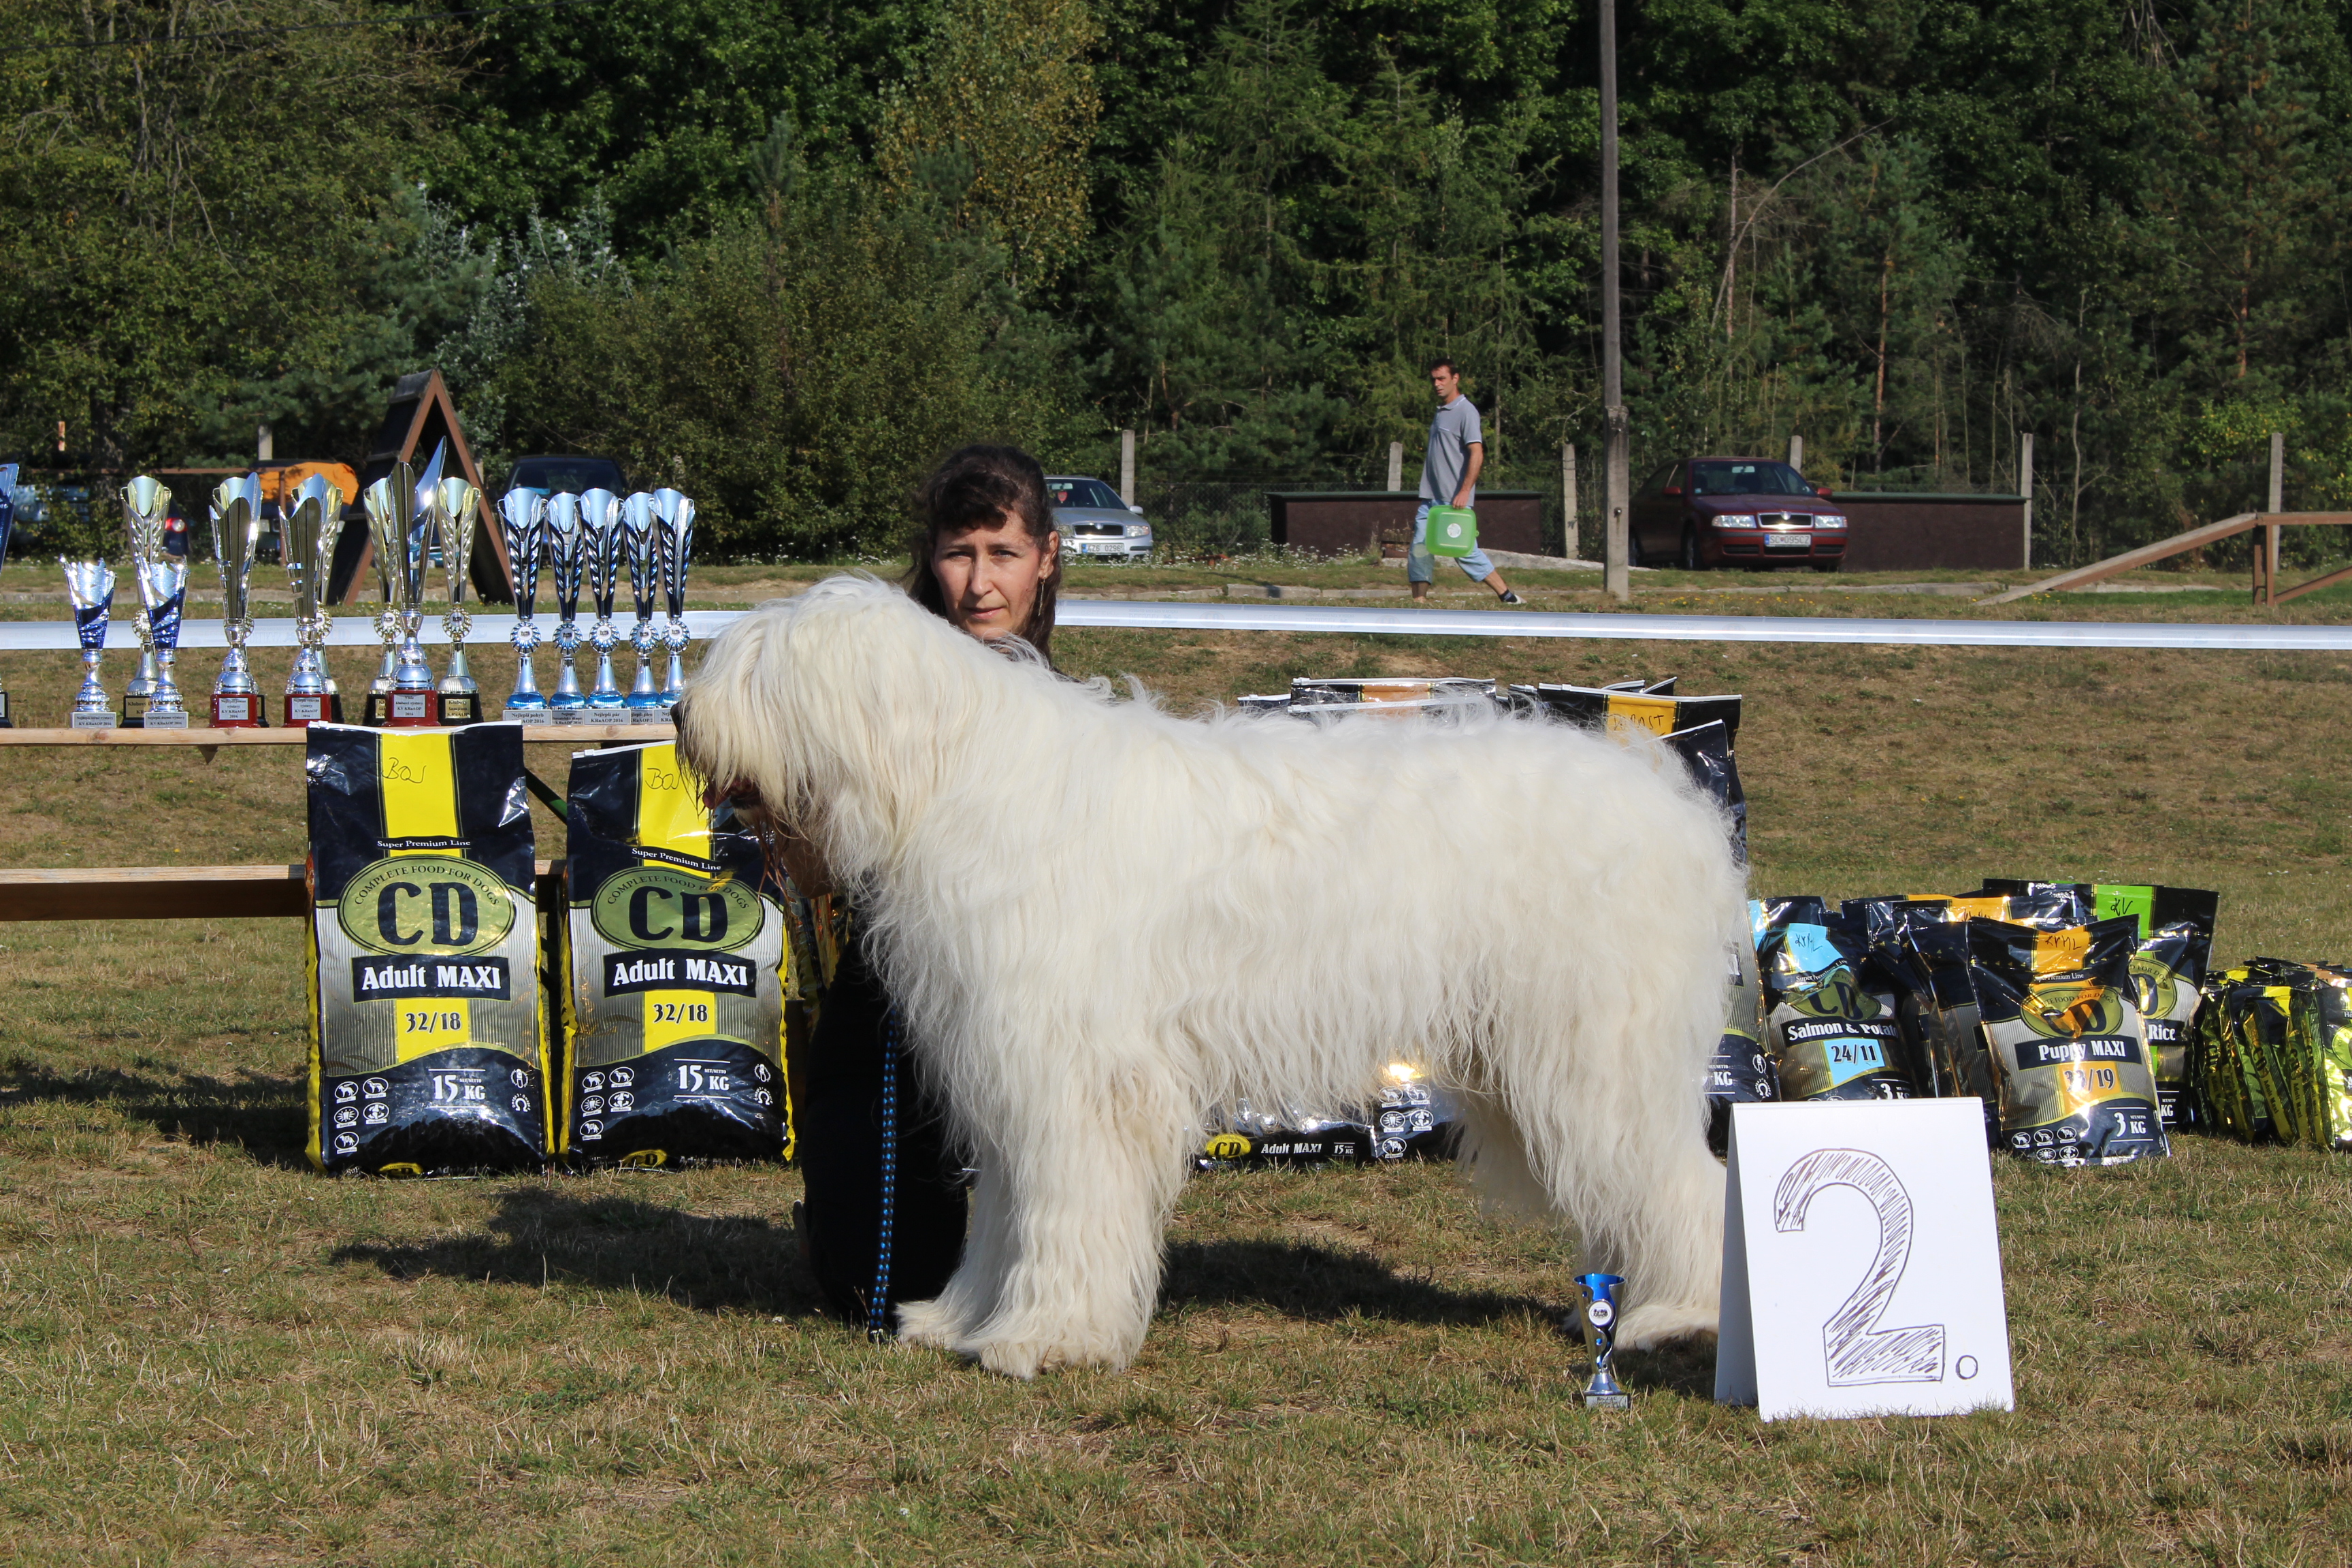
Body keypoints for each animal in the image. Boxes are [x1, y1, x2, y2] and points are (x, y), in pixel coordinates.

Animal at [676, 576, 1745, 1378]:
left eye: (761, 664)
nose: (680, 714)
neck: (954, 777)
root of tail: (1670, 801)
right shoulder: (1011, 1061)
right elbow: (1009, 1215)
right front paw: (959, 1320)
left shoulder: (1077, 1074)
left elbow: (1068, 1205)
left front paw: (1044, 1339)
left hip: (1597, 1044)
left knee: (1680, 1179)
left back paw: (1671, 1317)